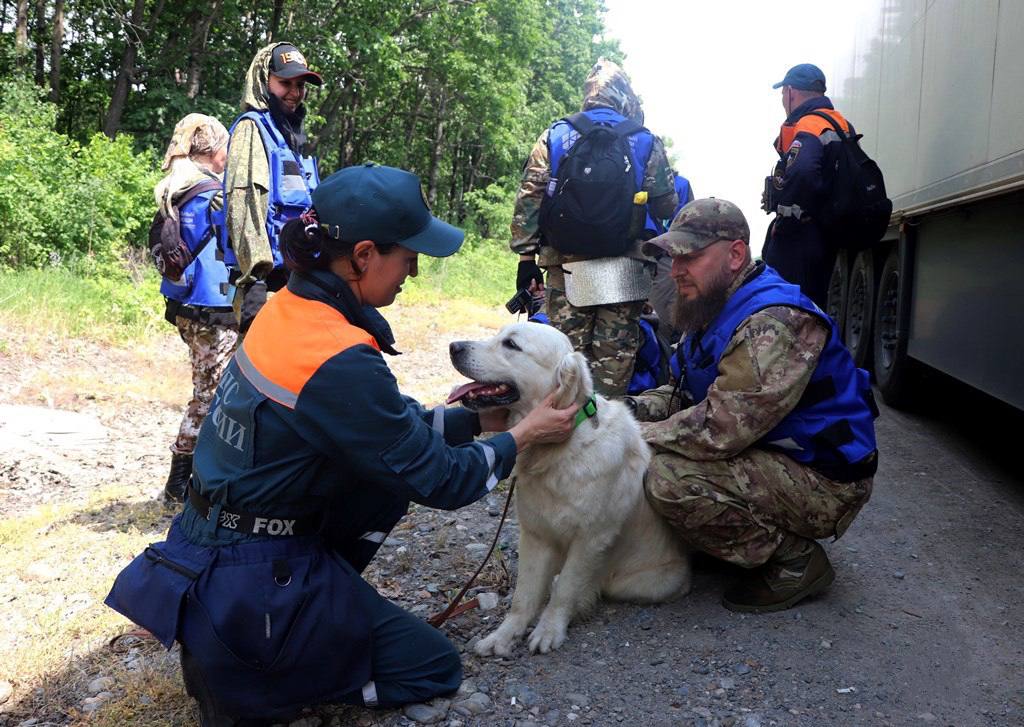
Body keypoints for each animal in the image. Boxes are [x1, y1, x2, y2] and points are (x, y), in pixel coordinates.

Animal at [446, 321, 688, 659]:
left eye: (511, 344)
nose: (453, 347)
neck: (559, 450)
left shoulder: (591, 539)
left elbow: (565, 589)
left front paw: (548, 630)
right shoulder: (535, 534)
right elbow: (524, 595)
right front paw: (503, 636)